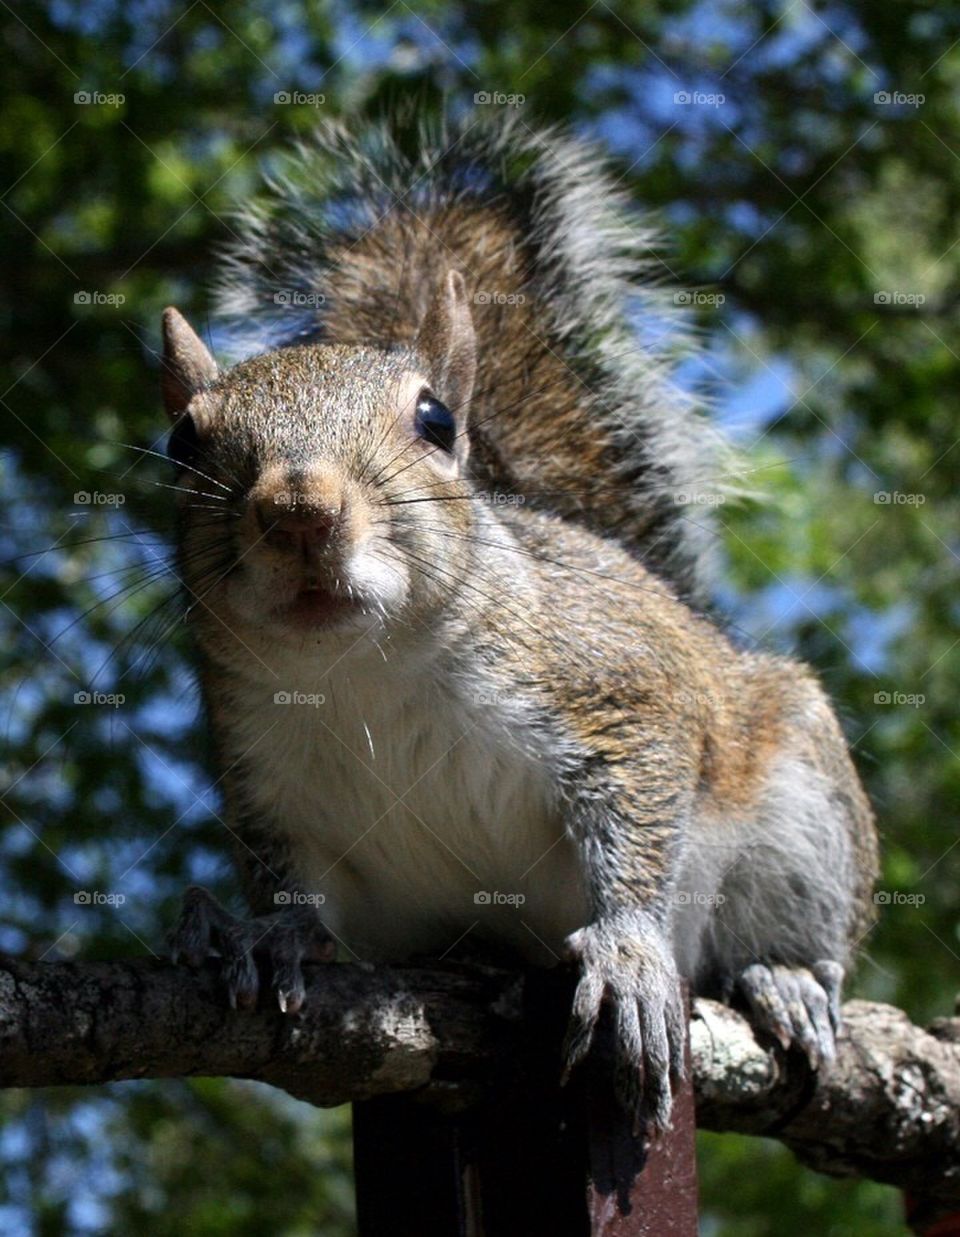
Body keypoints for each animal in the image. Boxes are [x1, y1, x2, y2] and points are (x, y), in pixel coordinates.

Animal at [163, 112, 879, 1133]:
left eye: (432, 419)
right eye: (182, 439)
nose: (299, 509)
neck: (362, 670)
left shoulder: (614, 692)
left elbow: (639, 819)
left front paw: (627, 952)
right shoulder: (266, 783)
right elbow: (297, 887)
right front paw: (269, 932)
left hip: (803, 810)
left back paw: (780, 976)